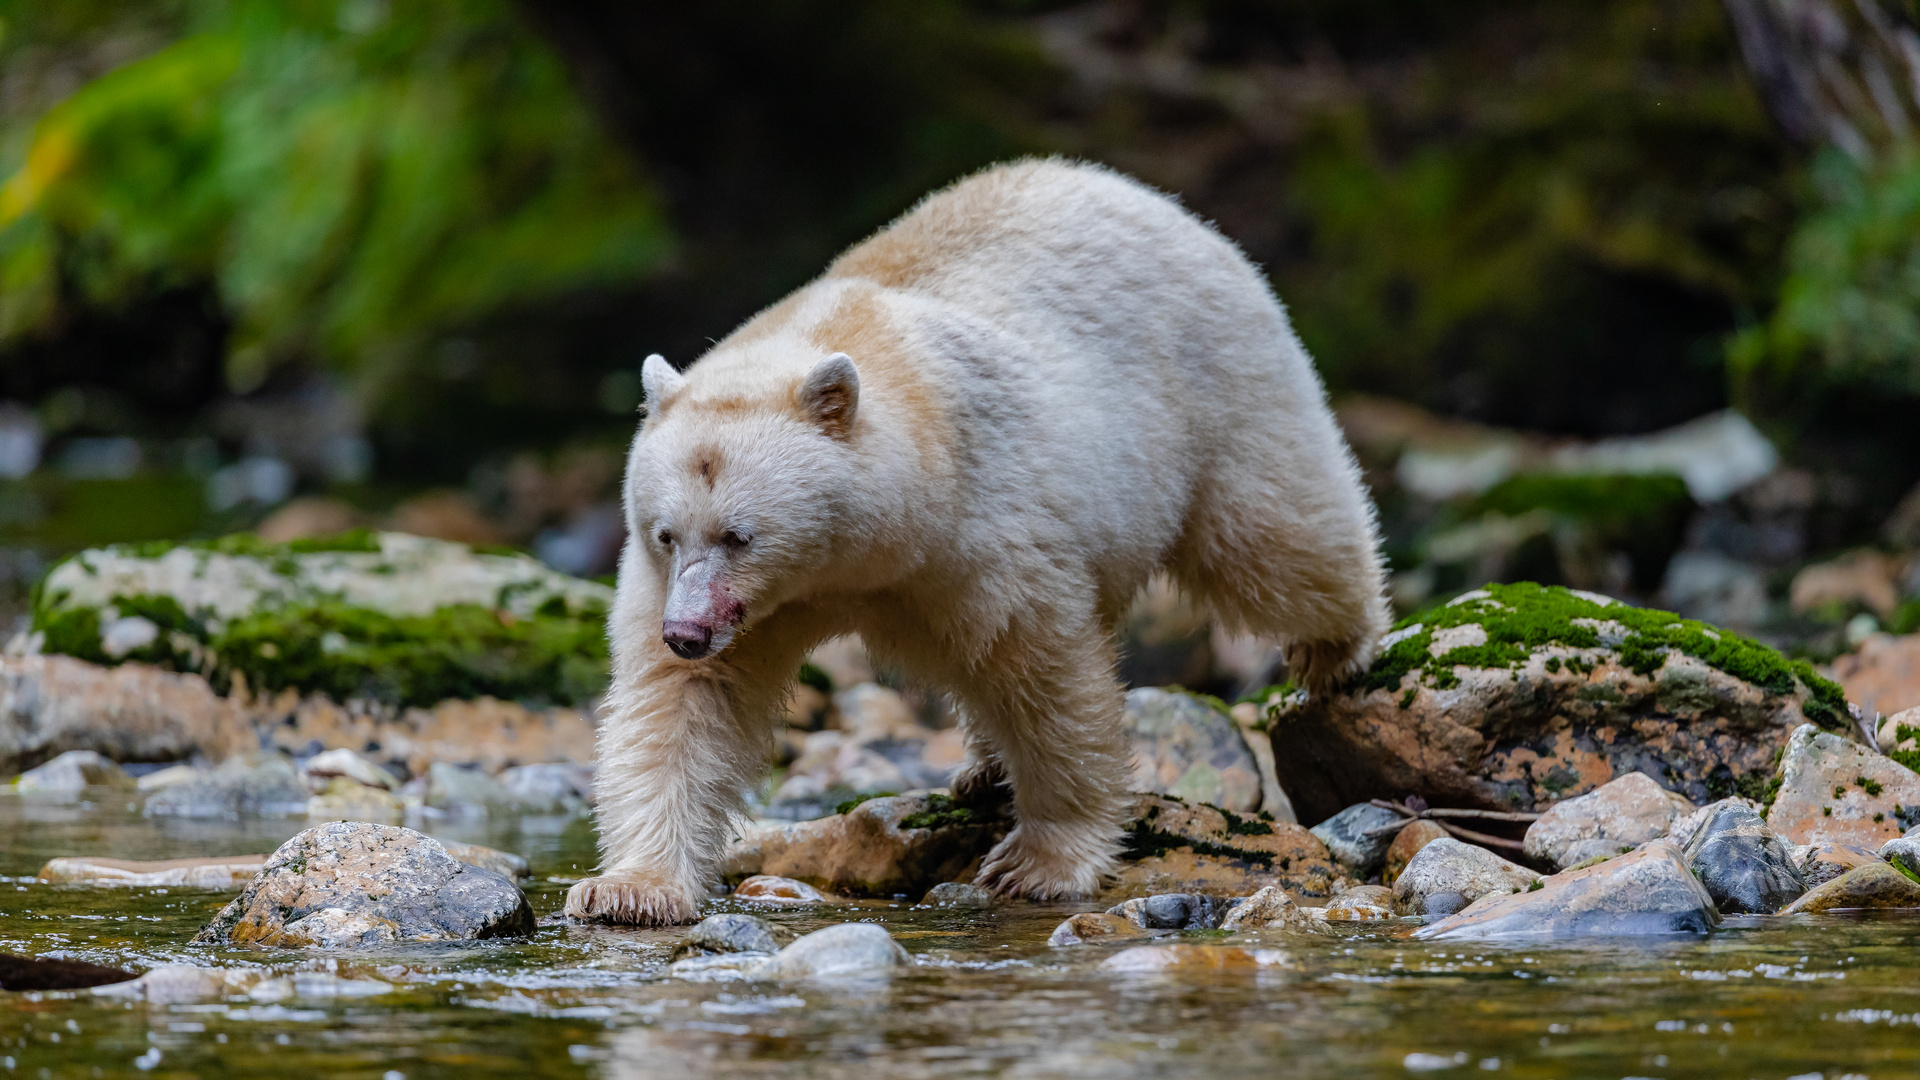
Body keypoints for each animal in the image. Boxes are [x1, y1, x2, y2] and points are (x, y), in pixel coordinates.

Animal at [560, 155, 1390, 922]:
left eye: (740, 535)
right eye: (666, 534)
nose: (685, 632)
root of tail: (1147, 195)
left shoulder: (983, 519)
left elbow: (1043, 672)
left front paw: (1041, 862)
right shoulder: (730, 600)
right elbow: (685, 708)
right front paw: (631, 889)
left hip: (1216, 383)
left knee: (1271, 534)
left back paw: (1336, 647)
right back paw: (983, 769)